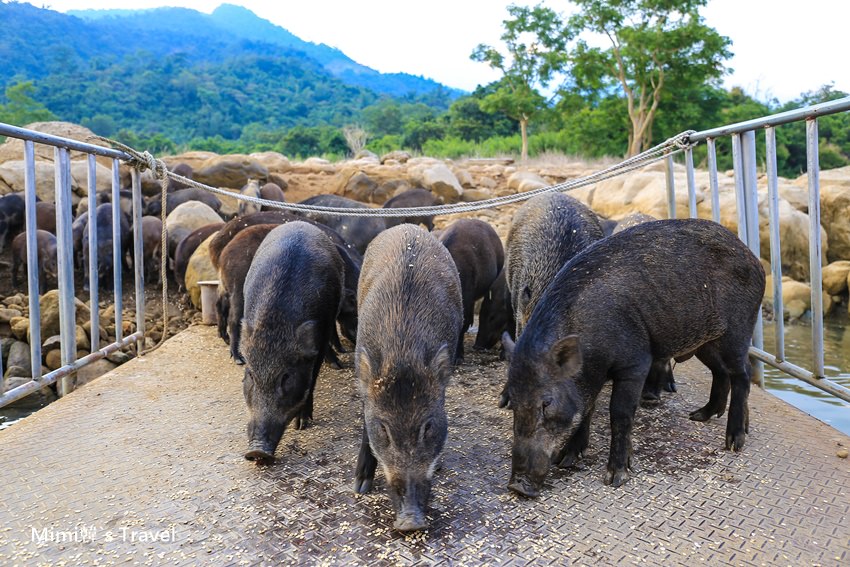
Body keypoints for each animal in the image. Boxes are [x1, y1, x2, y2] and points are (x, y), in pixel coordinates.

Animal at [241, 221, 344, 464]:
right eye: (251, 375)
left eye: (285, 377)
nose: (256, 451)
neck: (275, 325)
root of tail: (300, 223)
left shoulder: (321, 333)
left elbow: (312, 379)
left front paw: (302, 425)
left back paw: (337, 363)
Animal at [353, 224, 463, 532]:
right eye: (383, 429)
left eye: (428, 427)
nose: (410, 522)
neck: (403, 354)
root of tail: (409, 227)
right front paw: (359, 487)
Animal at [501, 218, 765, 496]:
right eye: (513, 400)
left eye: (546, 403)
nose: (517, 485)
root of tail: (753, 258)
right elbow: (587, 408)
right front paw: (567, 460)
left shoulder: (636, 361)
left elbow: (620, 412)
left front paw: (616, 477)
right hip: (706, 342)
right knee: (720, 372)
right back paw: (699, 416)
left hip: (737, 331)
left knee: (742, 374)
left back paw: (734, 442)